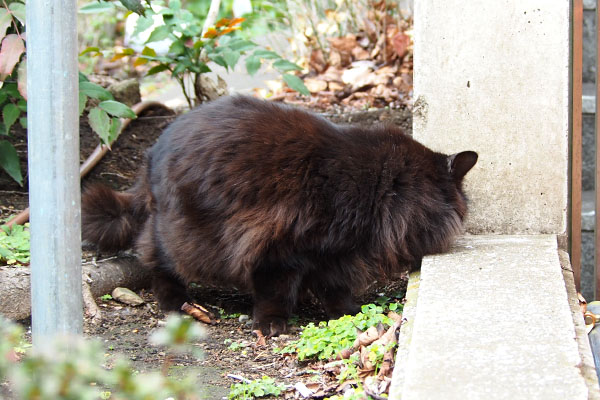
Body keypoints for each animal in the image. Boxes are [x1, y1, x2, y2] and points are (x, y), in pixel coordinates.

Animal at [82, 95, 478, 336]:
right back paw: (176, 302)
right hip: (182, 234)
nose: (465, 213)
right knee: (156, 259)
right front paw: (272, 323)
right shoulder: (279, 249)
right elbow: (275, 290)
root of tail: (151, 153)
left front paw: (348, 313)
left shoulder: (334, 254)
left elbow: (335, 289)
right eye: (458, 199)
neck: (383, 188)